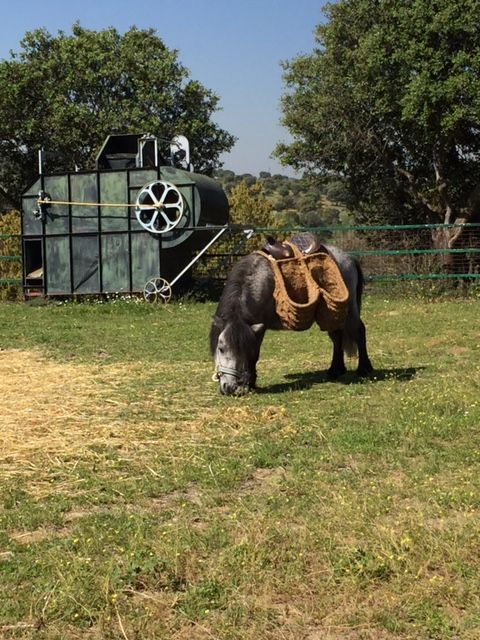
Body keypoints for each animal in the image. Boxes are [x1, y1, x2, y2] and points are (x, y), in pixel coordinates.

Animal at [209, 233, 373, 395]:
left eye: (242, 349)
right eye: (221, 348)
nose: (229, 388)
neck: (256, 283)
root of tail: (349, 258)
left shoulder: (259, 328)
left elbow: (255, 354)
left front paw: (251, 383)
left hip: (350, 309)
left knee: (359, 331)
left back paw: (364, 368)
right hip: (332, 313)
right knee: (337, 337)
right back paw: (335, 370)